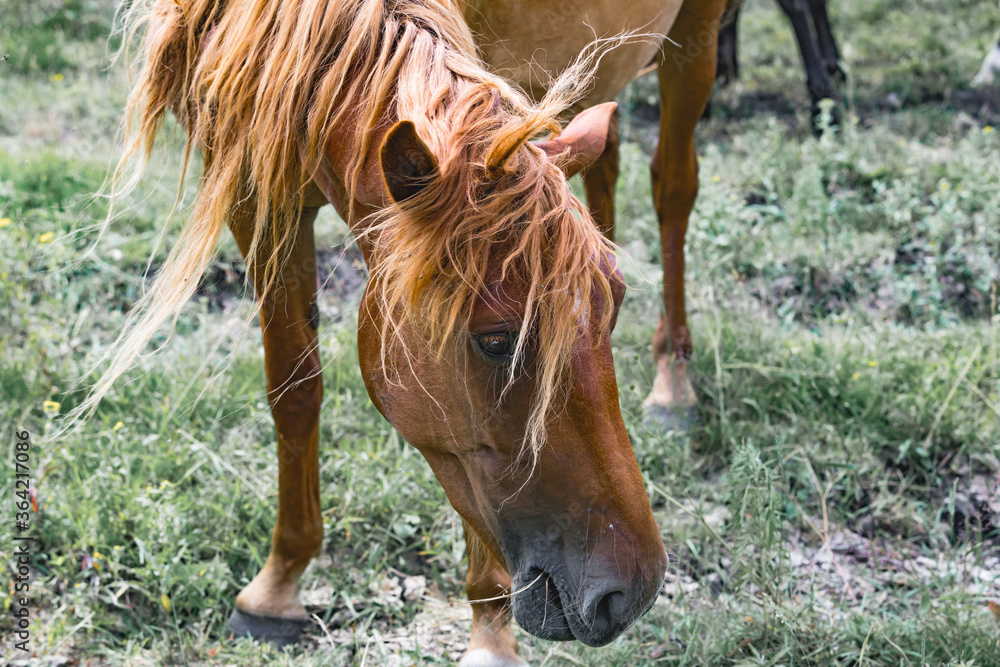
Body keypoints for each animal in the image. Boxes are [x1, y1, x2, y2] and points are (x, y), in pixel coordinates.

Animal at [92, 0, 736, 664]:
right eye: (496, 340)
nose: (631, 591)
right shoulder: (258, 191)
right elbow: (293, 390)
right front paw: (278, 584)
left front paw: (489, 633)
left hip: (697, 36)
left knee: (673, 186)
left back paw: (672, 383)